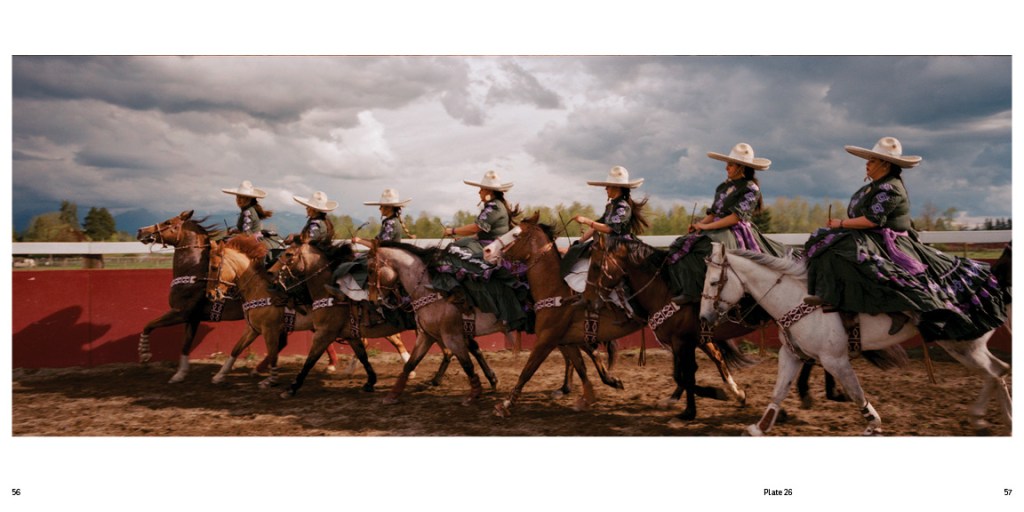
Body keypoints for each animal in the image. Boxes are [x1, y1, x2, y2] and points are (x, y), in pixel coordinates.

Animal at [700, 242, 1012, 436]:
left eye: (714, 282)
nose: (704, 317)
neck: (797, 300)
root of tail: (994, 281)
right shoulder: (792, 355)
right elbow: (778, 391)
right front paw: (760, 428)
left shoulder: (835, 360)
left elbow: (855, 391)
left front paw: (873, 424)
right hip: (964, 347)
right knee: (999, 372)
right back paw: (989, 421)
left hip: (964, 345)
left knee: (996, 372)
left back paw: (990, 418)